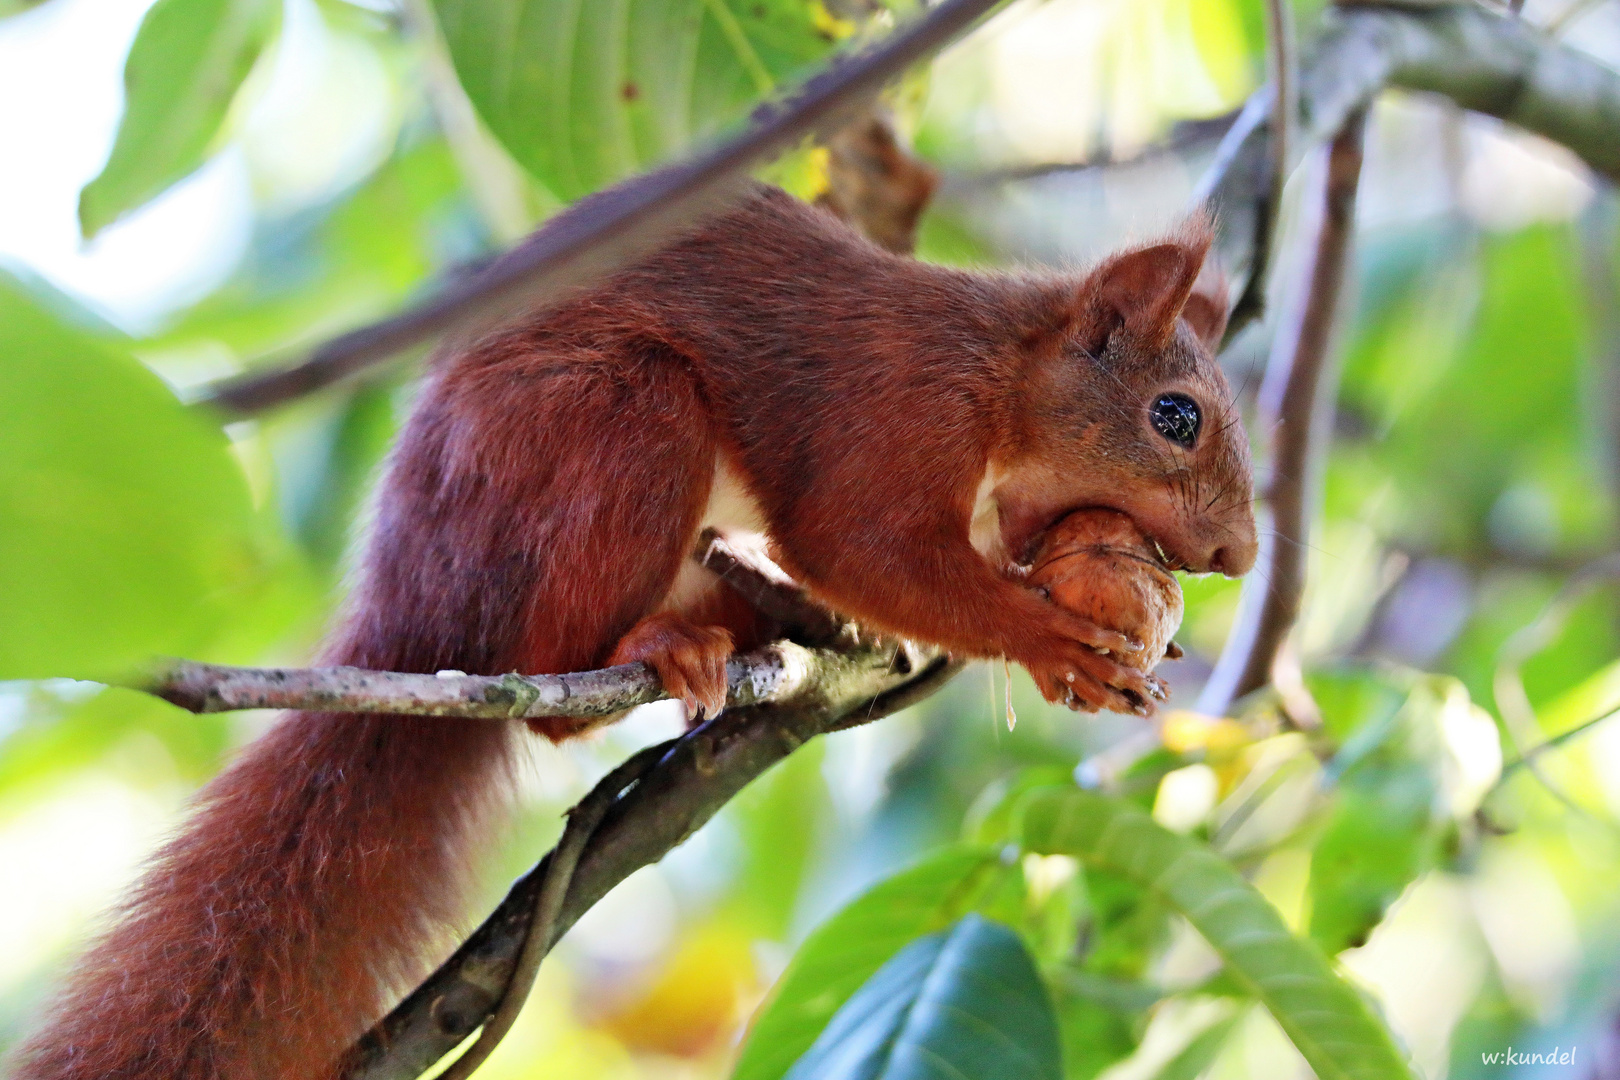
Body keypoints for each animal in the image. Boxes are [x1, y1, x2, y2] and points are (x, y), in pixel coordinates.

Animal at [6, 181, 1257, 1075]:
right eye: (1175, 417)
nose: (1240, 557)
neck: (1001, 374)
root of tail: (413, 603)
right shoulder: (890, 414)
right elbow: (864, 549)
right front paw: (1048, 644)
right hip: (613, 421)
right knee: (543, 684)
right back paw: (652, 650)